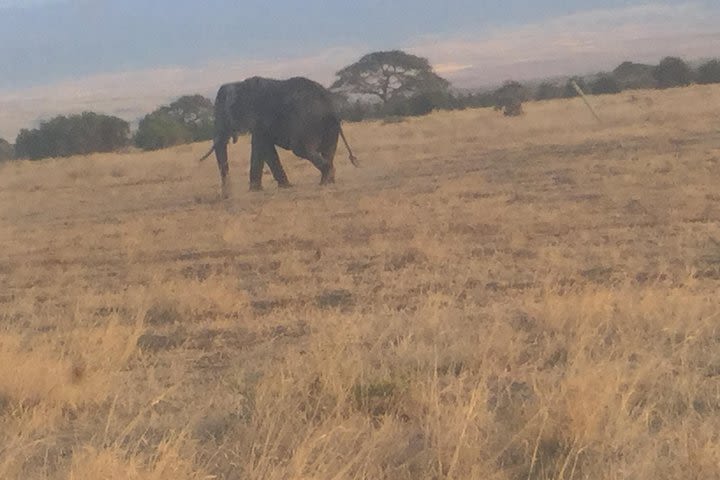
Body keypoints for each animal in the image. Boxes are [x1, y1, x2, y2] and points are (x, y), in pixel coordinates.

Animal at [198, 75, 358, 195]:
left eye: (224, 113)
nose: (227, 195)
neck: (239, 85)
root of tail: (329, 103)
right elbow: (265, 148)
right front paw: (282, 187)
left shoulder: (260, 118)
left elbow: (261, 147)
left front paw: (255, 191)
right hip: (330, 126)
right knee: (328, 151)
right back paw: (327, 182)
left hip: (307, 121)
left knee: (300, 149)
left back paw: (326, 179)